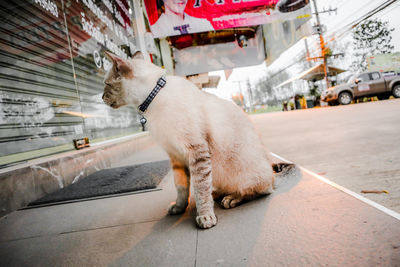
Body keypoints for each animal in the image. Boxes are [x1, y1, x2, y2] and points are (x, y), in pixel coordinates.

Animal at [102, 52, 276, 230]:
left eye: (106, 84)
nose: (101, 97)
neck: (152, 102)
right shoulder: (175, 155)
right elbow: (181, 186)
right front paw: (179, 207)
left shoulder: (197, 151)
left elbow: (200, 188)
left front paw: (205, 216)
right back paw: (218, 193)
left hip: (246, 173)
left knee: (260, 191)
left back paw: (232, 198)